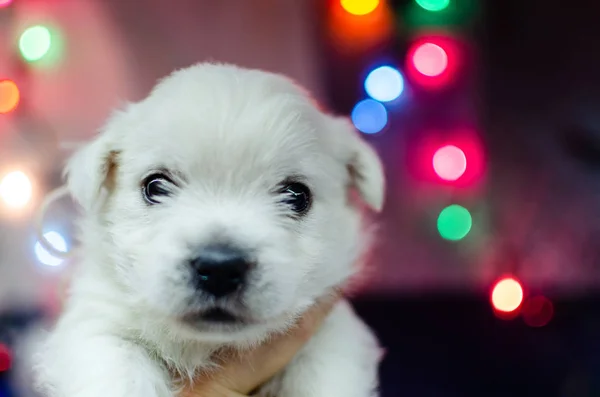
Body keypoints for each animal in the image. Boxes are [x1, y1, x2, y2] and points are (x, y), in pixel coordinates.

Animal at [32, 62, 386, 396]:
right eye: (155, 186)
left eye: (298, 196)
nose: (220, 268)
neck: (204, 346)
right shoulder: (98, 323)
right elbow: (119, 371)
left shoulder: (330, 335)